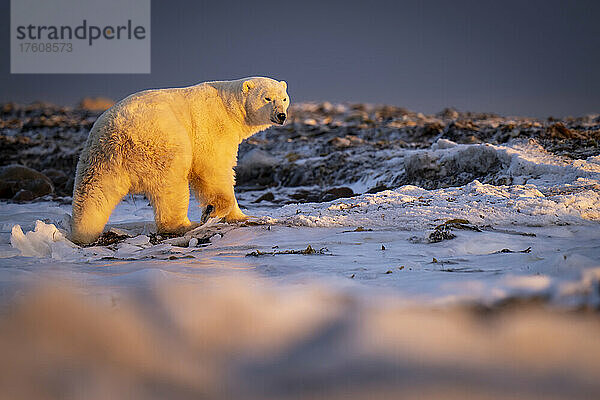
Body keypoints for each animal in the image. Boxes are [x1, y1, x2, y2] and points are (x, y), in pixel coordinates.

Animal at [70, 75, 290, 244]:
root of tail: (120, 135)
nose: (281, 115)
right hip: (162, 143)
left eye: (284, 98)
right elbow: (213, 169)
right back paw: (184, 224)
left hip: (98, 158)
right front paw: (213, 210)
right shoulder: (212, 128)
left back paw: (82, 233)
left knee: (94, 194)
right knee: (171, 186)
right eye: (267, 98)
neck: (228, 106)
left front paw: (241, 215)